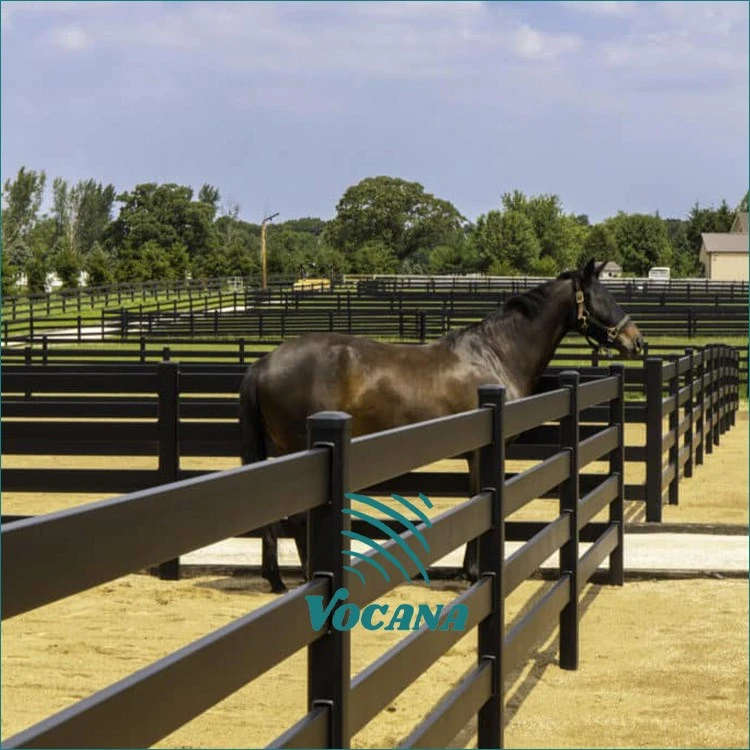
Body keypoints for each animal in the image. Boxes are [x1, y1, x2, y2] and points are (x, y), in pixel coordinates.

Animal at [239, 258, 644, 593]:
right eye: (601, 297)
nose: (637, 341)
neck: (495, 354)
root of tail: (264, 362)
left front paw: (466, 570)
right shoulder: (484, 452)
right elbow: (480, 502)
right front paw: (474, 573)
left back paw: (277, 579)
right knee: (297, 518)